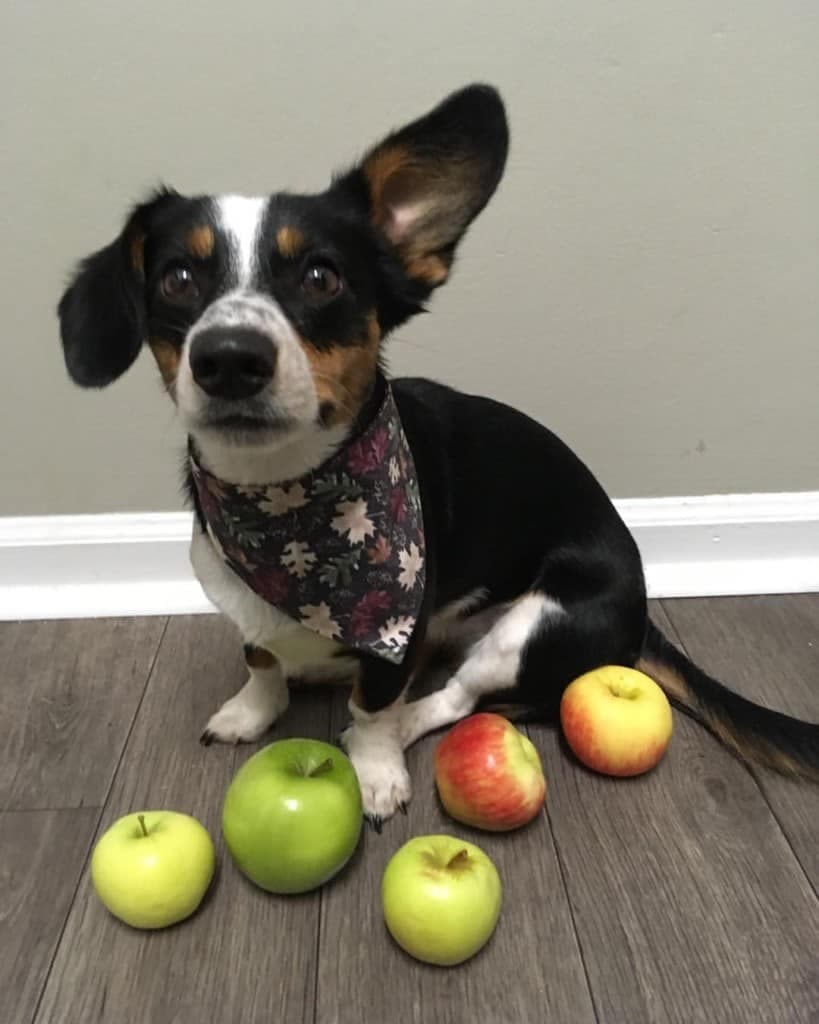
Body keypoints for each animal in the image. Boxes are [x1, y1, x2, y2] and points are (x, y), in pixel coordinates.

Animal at [59, 83, 818, 827]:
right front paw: (252, 711)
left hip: (533, 623)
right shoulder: (249, 607)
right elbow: (260, 659)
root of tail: (640, 614)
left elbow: (372, 706)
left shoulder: (401, 626)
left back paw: (407, 718)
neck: (281, 502)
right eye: (177, 278)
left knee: (461, 696)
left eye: (321, 277)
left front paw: (375, 772)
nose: (228, 359)